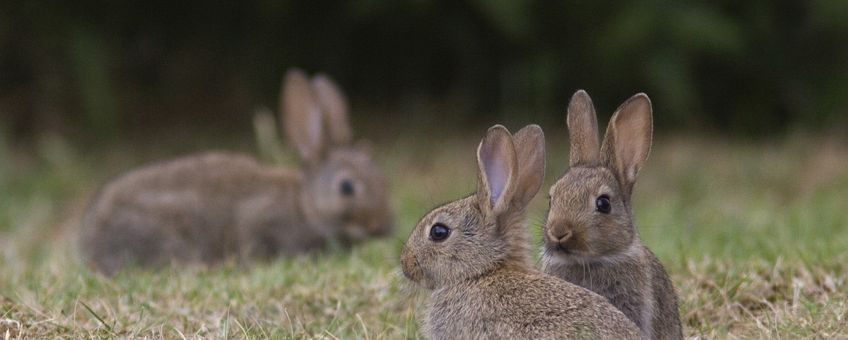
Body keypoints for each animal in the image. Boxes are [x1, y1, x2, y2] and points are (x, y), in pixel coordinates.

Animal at [80, 68, 394, 274]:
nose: (383, 228)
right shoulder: (261, 221)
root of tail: (91, 239)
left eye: (383, 179)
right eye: (346, 187)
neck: (306, 207)